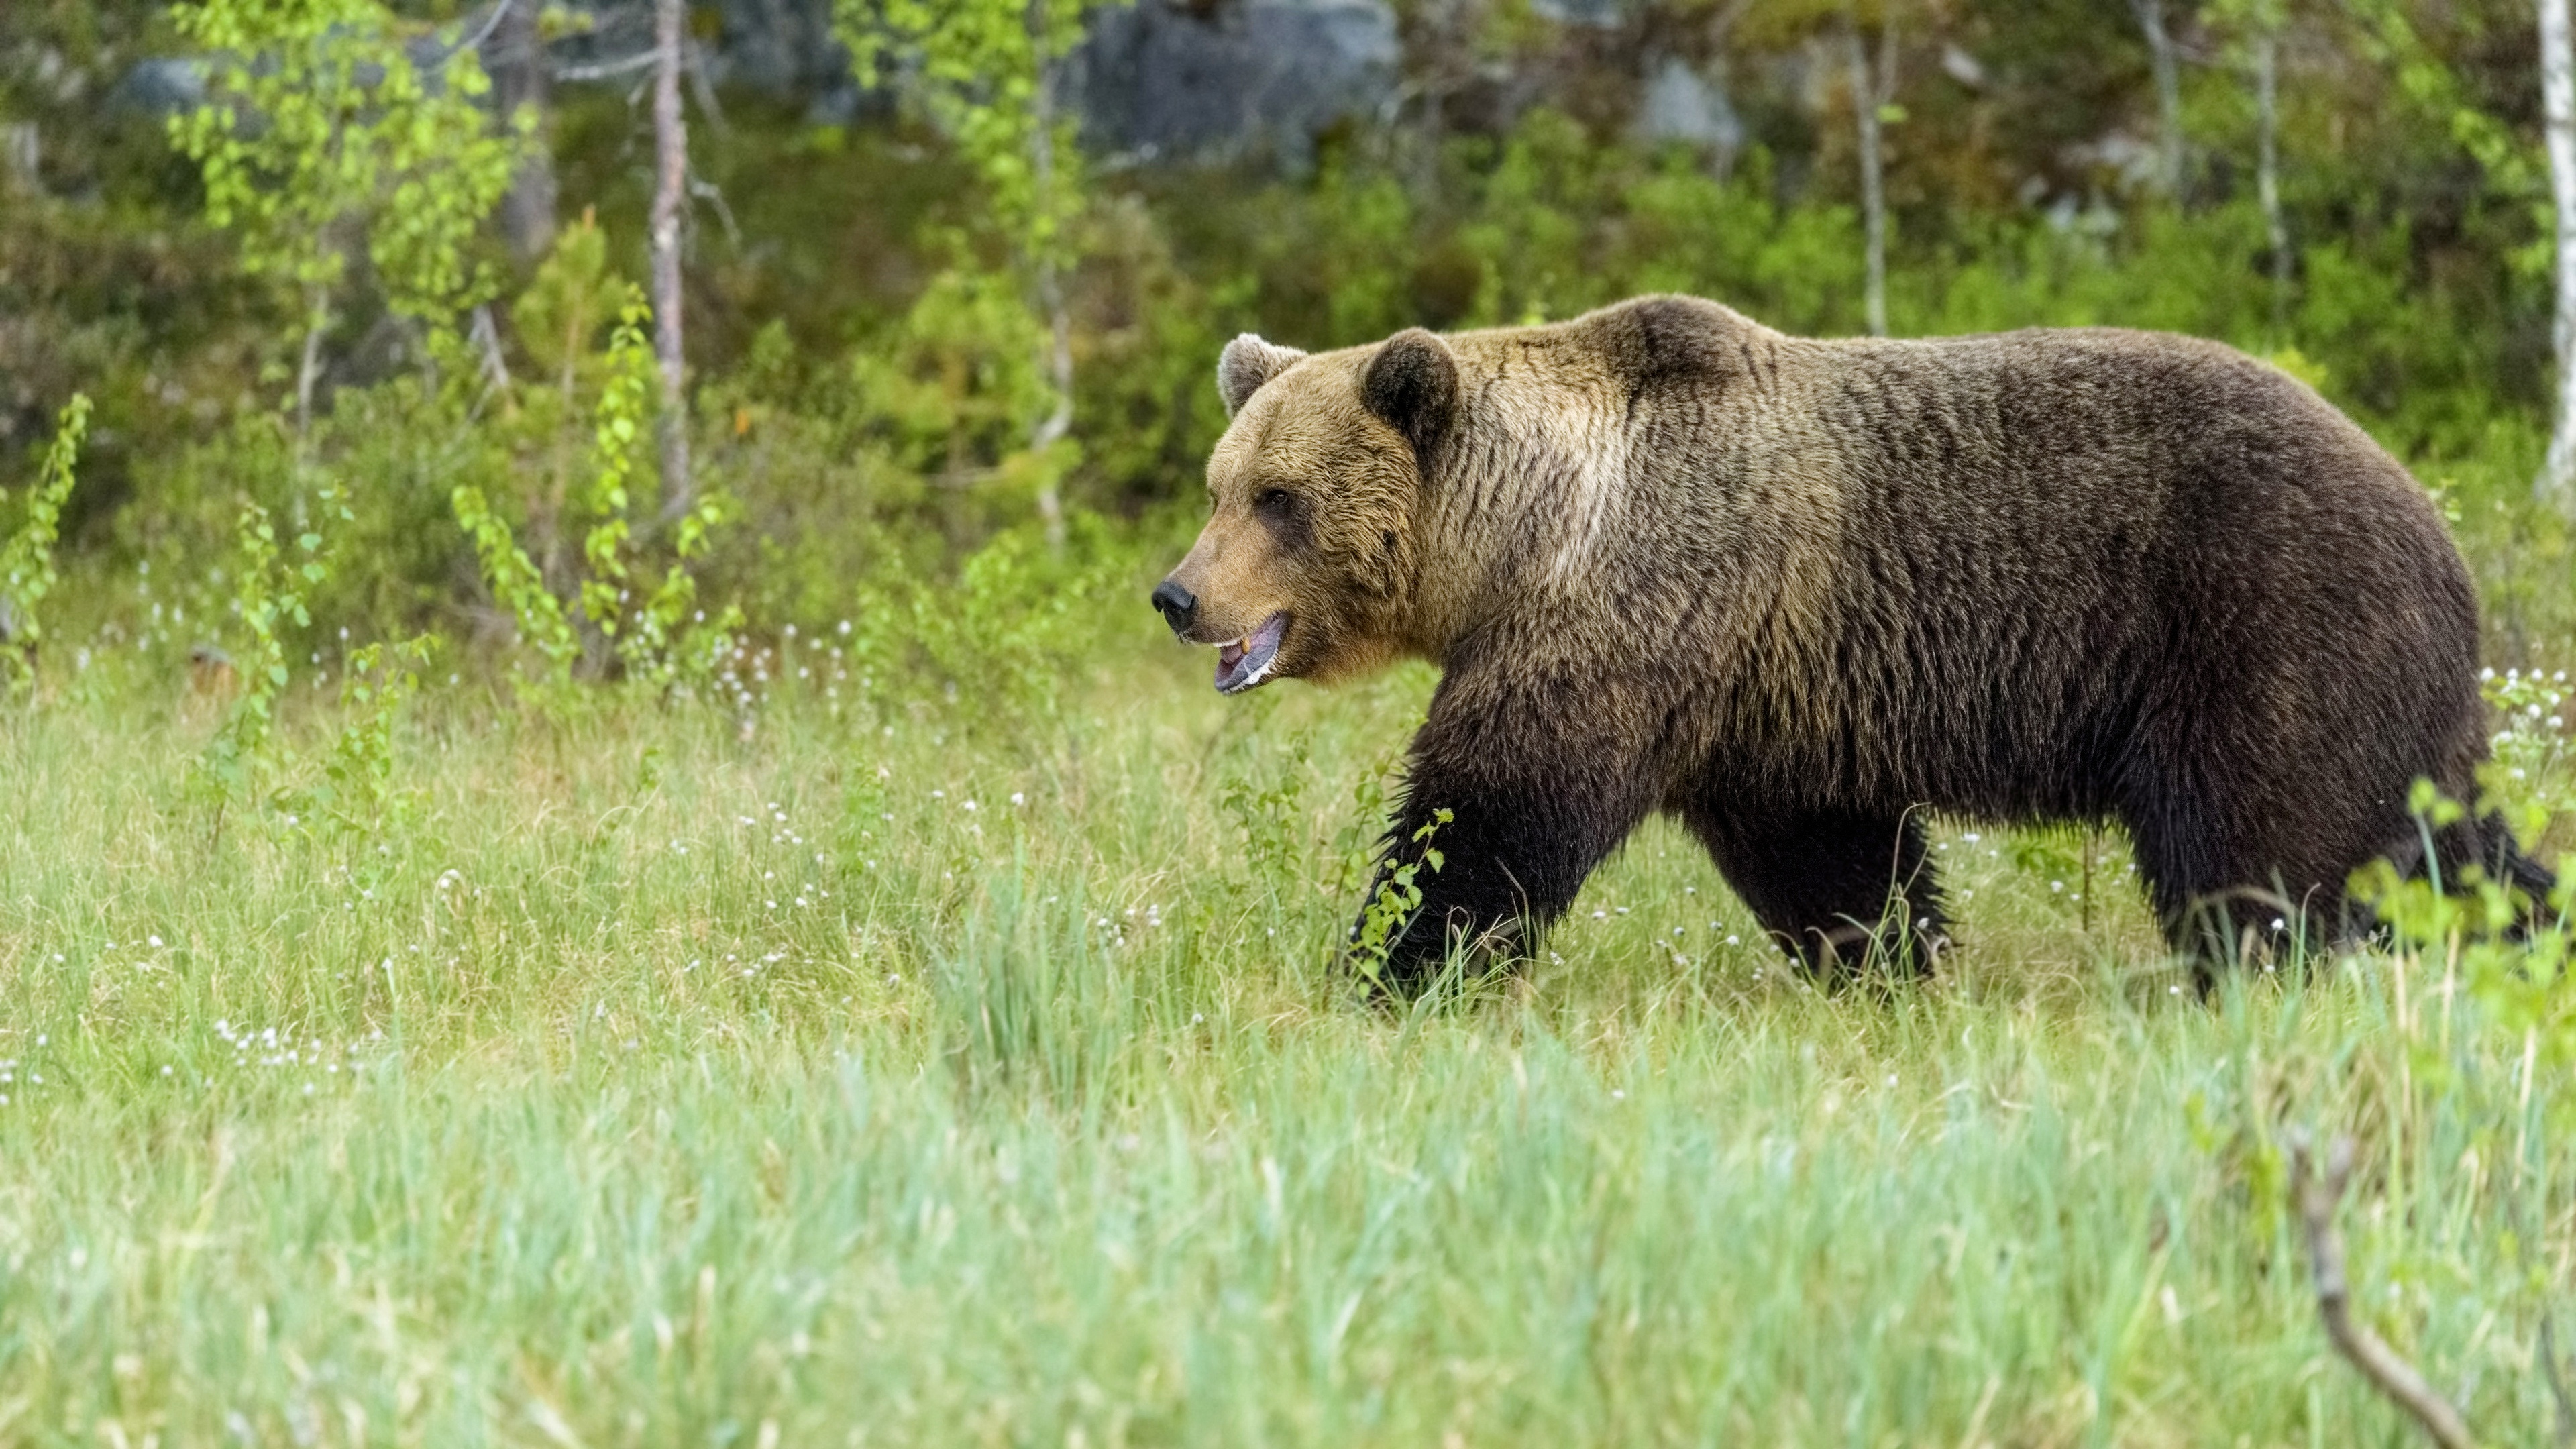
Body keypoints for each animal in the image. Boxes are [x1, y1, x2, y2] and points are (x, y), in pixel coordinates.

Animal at [1154, 291, 2555, 979]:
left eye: (1280, 497)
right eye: (1220, 485)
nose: (1177, 595)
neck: (1522, 538)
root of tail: (2440, 531)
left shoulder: (1641, 609)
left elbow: (1496, 810)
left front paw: (1394, 965)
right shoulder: (1767, 689)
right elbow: (1827, 852)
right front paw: (1888, 963)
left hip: (2265, 630)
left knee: (2270, 856)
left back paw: (2271, 973)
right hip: (2384, 690)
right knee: (2451, 841)